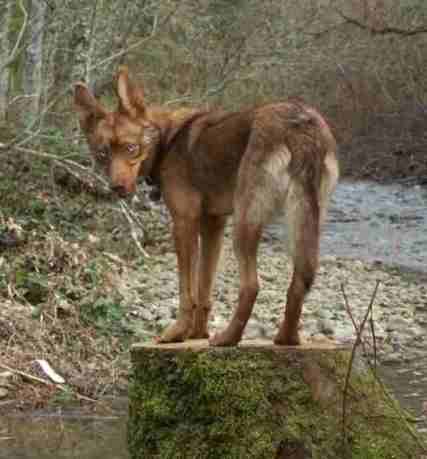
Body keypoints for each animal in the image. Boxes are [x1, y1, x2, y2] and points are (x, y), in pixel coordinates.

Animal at [75, 66, 340, 346]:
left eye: (130, 148)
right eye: (102, 154)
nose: (117, 188)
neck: (167, 141)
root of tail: (301, 123)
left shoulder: (184, 223)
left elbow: (186, 292)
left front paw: (177, 333)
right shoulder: (213, 224)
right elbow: (203, 289)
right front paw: (197, 334)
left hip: (245, 224)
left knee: (251, 286)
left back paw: (228, 338)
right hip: (306, 222)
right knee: (300, 281)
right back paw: (286, 339)